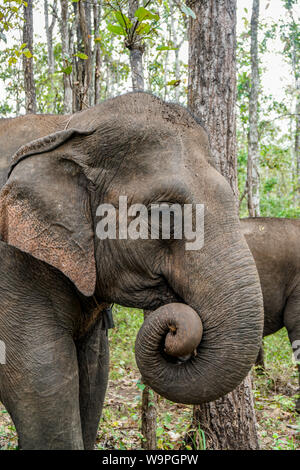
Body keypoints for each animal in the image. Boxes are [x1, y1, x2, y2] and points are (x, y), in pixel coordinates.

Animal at [0, 92, 262, 448]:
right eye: (165, 213)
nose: (173, 330)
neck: (68, 126)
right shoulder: (12, 265)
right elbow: (42, 380)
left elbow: (95, 372)